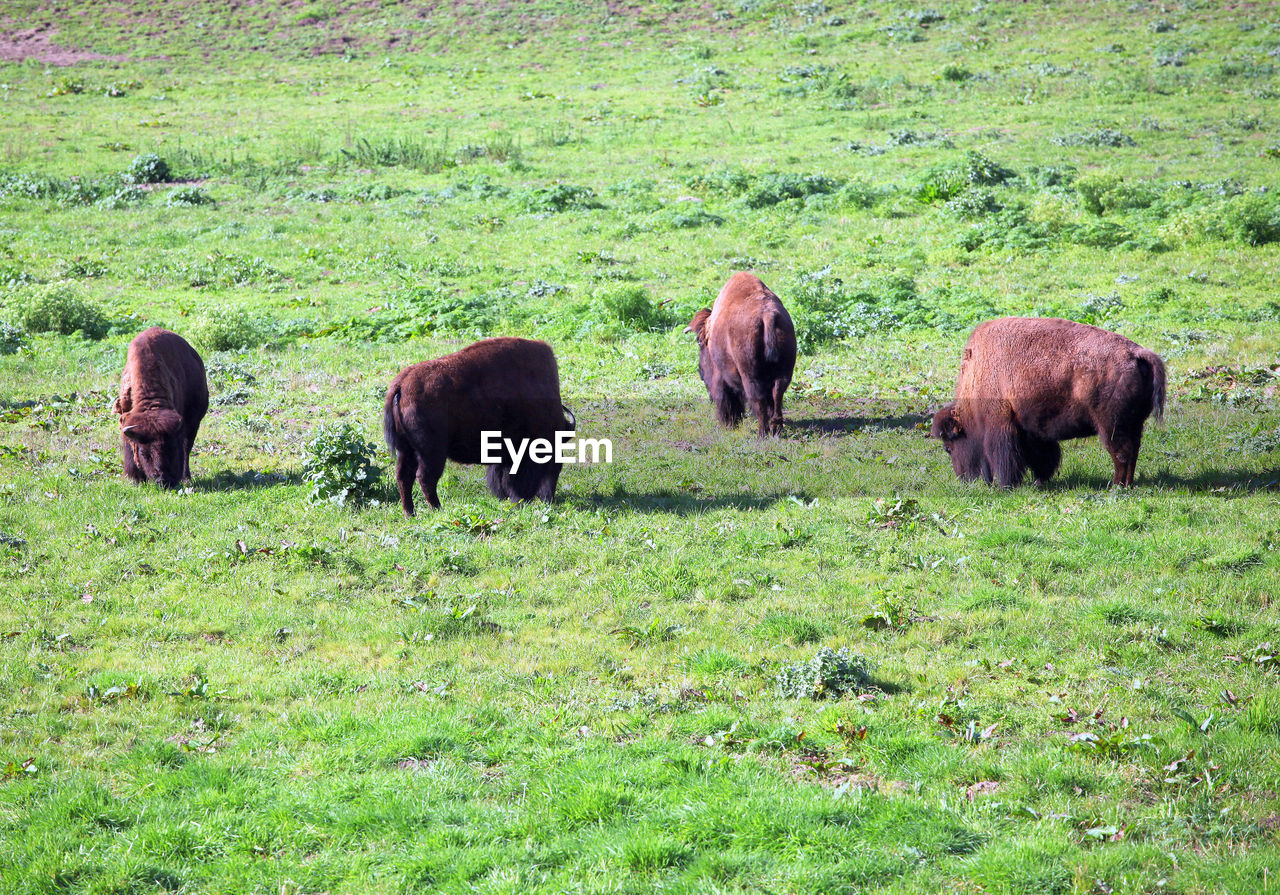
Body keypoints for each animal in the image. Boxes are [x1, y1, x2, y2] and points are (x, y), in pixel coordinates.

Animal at [112, 325, 209, 486]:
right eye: (144, 453)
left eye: (171, 448)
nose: (163, 480)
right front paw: (133, 478)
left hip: (194, 423)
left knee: (187, 448)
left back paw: (186, 477)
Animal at [381, 338, 573, 517]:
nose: (548, 497)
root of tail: (402, 383)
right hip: (432, 453)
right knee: (425, 477)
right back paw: (437, 509)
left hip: (406, 449)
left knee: (404, 476)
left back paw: (410, 513)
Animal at [686, 272, 793, 440]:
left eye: (699, 342)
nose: (701, 374)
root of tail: (767, 315)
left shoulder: (721, 377)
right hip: (784, 372)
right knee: (777, 394)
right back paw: (776, 429)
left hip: (750, 375)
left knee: (758, 399)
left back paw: (762, 434)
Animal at [931, 316, 1172, 489]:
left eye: (949, 448)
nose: (963, 479)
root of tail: (1137, 353)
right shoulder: (1031, 430)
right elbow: (1043, 457)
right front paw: (1039, 481)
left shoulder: (1001, 425)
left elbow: (1006, 459)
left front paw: (1006, 486)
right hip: (1134, 425)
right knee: (1132, 453)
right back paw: (1126, 485)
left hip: (1111, 426)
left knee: (1121, 454)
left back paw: (1115, 486)